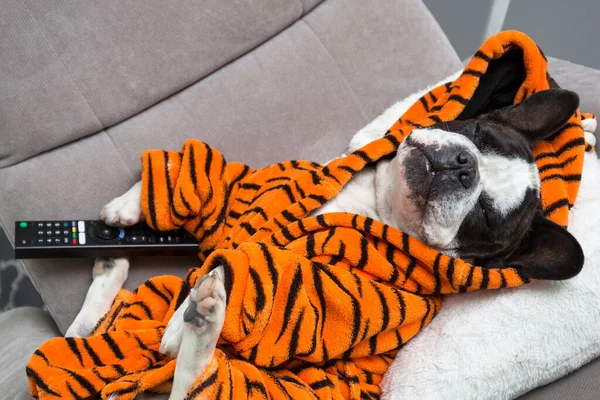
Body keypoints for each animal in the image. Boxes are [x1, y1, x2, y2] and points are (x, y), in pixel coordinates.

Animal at [67, 88, 584, 400]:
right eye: (475, 131)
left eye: (485, 216)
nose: (462, 166)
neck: (379, 200)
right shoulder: (258, 190)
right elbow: (210, 183)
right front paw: (128, 209)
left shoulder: (324, 291)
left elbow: (250, 264)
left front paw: (185, 314)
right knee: (86, 332)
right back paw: (110, 269)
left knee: (196, 381)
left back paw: (201, 316)